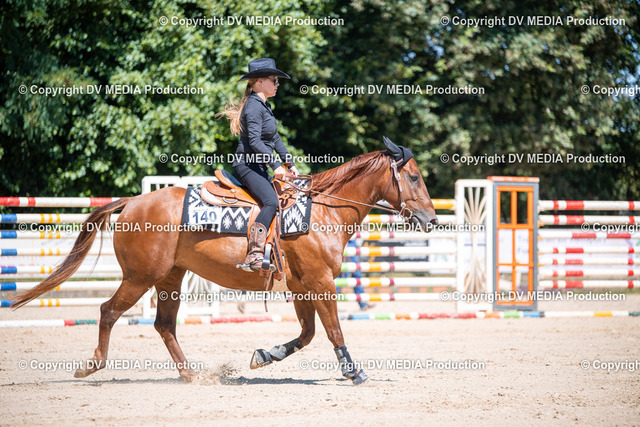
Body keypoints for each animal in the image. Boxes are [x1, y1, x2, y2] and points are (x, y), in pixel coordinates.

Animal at [12, 139, 439, 385]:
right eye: (414, 177)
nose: (432, 219)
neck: (320, 213)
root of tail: (133, 201)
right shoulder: (320, 283)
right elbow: (333, 331)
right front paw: (353, 371)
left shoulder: (302, 288)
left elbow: (307, 335)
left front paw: (264, 356)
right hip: (140, 277)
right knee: (108, 311)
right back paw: (92, 366)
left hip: (170, 278)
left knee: (163, 325)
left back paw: (190, 374)